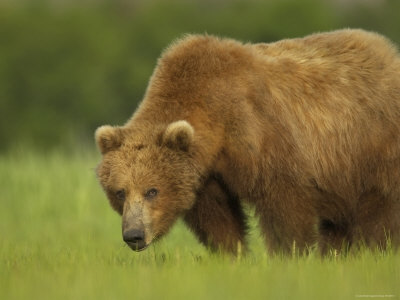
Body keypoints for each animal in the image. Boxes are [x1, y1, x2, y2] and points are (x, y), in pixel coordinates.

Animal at [96, 28, 400, 255]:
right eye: (119, 192)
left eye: (152, 190)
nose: (134, 235)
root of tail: (390, 52)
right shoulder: (205, 176)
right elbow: (218, 220)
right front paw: (231, 254)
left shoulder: (262, 138)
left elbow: (285, 208)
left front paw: (290, 254)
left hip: (372, 148)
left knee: (376, 212)